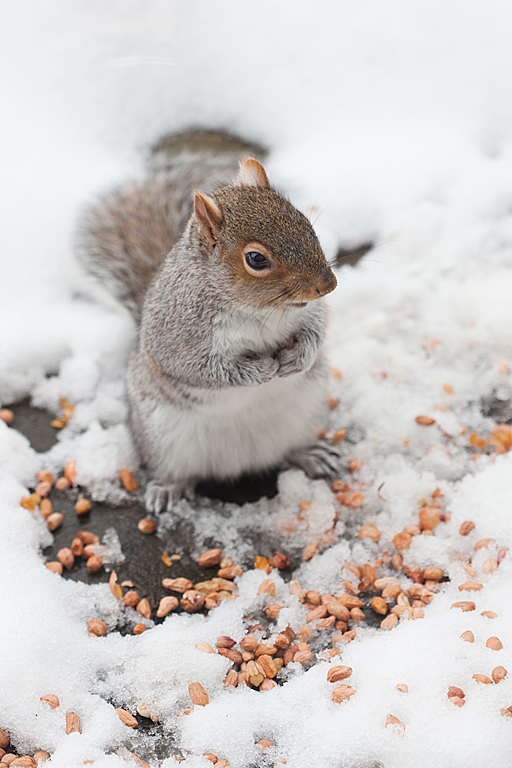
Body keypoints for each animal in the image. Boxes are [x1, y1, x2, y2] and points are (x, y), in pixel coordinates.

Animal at [77, 131, 340, 513]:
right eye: (256, 259)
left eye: (306, 224)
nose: (328, 285)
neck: (255, 309)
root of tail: (239, 460)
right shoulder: (175, 335)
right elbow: (202, 370)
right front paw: (259, 371)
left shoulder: (308, 311)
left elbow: (316, 330)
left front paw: (300, 356)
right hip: (163, 437)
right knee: (174, 471)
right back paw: (167, 488)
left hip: (305, 413)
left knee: (289, 450)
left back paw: (310, 454)